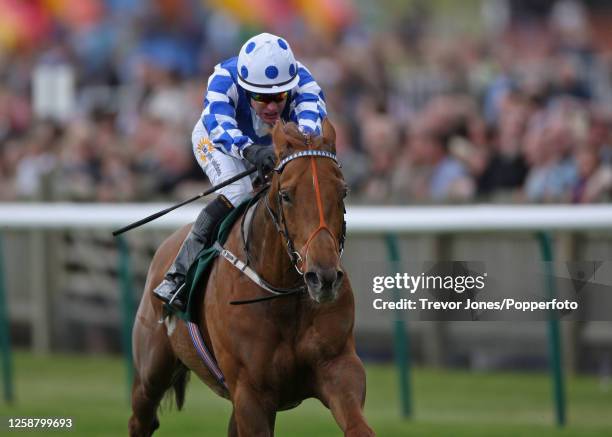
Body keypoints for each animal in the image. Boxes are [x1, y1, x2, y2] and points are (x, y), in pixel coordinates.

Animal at [129, 120, 372, 436]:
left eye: (342, 191)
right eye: (286, 195)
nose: (324, 277)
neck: (281, 291)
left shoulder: (339, 366)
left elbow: (358, 426)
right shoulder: (250, 392)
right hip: (151, 371)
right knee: (141, 418)